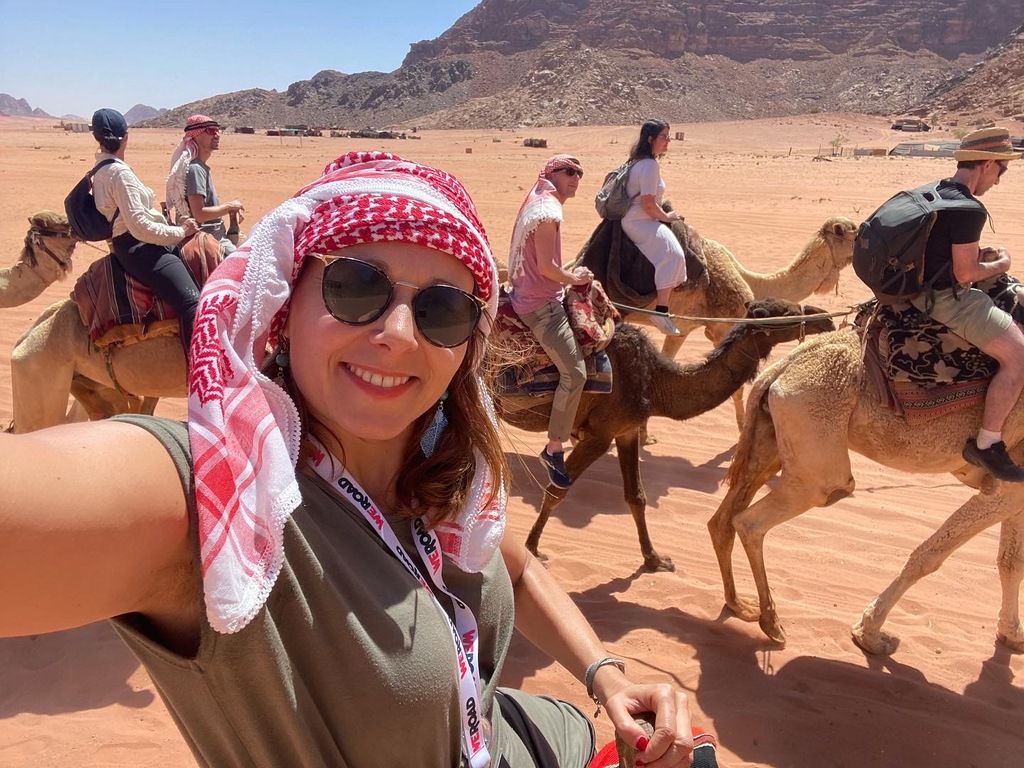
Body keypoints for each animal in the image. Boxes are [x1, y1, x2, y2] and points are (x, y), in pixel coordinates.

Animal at [491, 296, 835, 573]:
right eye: (785, 312)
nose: (824, 317)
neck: (656, 382)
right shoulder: (599, 434)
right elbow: (556, 491)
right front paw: (532, 549)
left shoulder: (626, 429)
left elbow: (636, 497)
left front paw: (654, 559)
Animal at [708, 276, 1024, 655]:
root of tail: (780, 369)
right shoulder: (1007, 488)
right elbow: (930, 555)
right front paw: (869, 634)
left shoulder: (1017, 490)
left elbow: (1010, 561)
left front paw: (1012, 634)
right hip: (818, 459)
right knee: (753, 520)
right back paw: (770, 621)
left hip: (771, 440)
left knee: (723, 519)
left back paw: (739, 605)